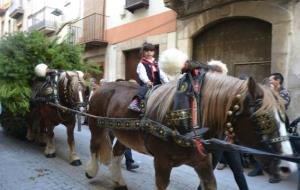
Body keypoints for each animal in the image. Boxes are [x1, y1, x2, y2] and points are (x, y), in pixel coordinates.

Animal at [85, 73, 296, 190]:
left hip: (122, 133)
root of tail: (105, 86)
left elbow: (210, 184)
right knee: (94, 146)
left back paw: (118, 180)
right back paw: (90, 170)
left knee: (117, 152)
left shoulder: (203, 162)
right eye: (262, 120)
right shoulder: (162, 162)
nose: (288, 167)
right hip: (95, 124)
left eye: (284, 118)